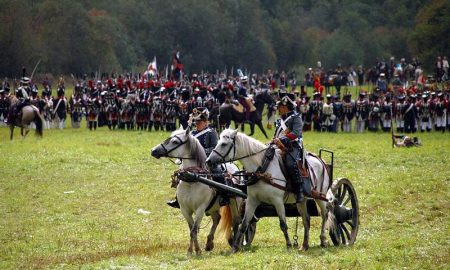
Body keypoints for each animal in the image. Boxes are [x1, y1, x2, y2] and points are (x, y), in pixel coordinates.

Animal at [206, 129, 336, 251]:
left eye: (224, 144)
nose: (208, 161)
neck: (262, 168)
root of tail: (321, 161)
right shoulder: (252, 201)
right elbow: (244, 224)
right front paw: (235, 247)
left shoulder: (277, 201)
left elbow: (283, 224)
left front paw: (289, 245)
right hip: (302, 200)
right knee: (306, 219)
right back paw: (304, 245)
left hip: (320, 197)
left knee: (325, 214)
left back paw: (323, 240)